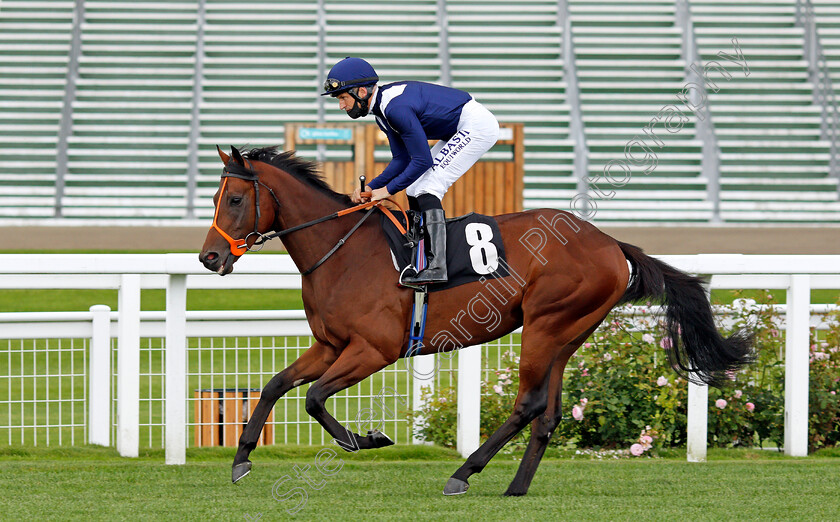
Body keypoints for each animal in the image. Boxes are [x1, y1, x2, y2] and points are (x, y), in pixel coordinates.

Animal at [200, 144, 752, 494]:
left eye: (235, 199)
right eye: (215, 199)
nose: (209, 258)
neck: (343, 251)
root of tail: (611, 243)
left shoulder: (373, 350)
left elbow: (313, 398)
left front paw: (367, 439)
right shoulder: (330, 345)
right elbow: (275, 386)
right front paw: (241, 459)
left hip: (545, 325)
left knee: (528, 404)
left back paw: (465, 472)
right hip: (566, 334)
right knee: (549, 413)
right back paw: (515, 487)